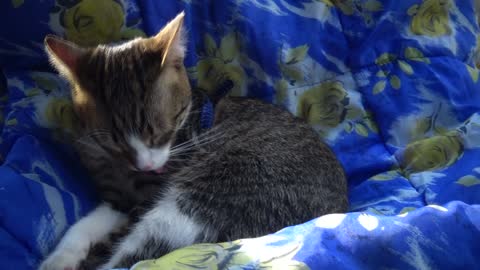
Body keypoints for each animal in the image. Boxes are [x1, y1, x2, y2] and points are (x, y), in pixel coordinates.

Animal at [39, 11, 348, 270]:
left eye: (164, 132)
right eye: (116, 141)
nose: (148, 167)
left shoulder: (147, 194)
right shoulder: (118, 196)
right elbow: (86, 224)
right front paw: (61, 257)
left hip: (198, 201)